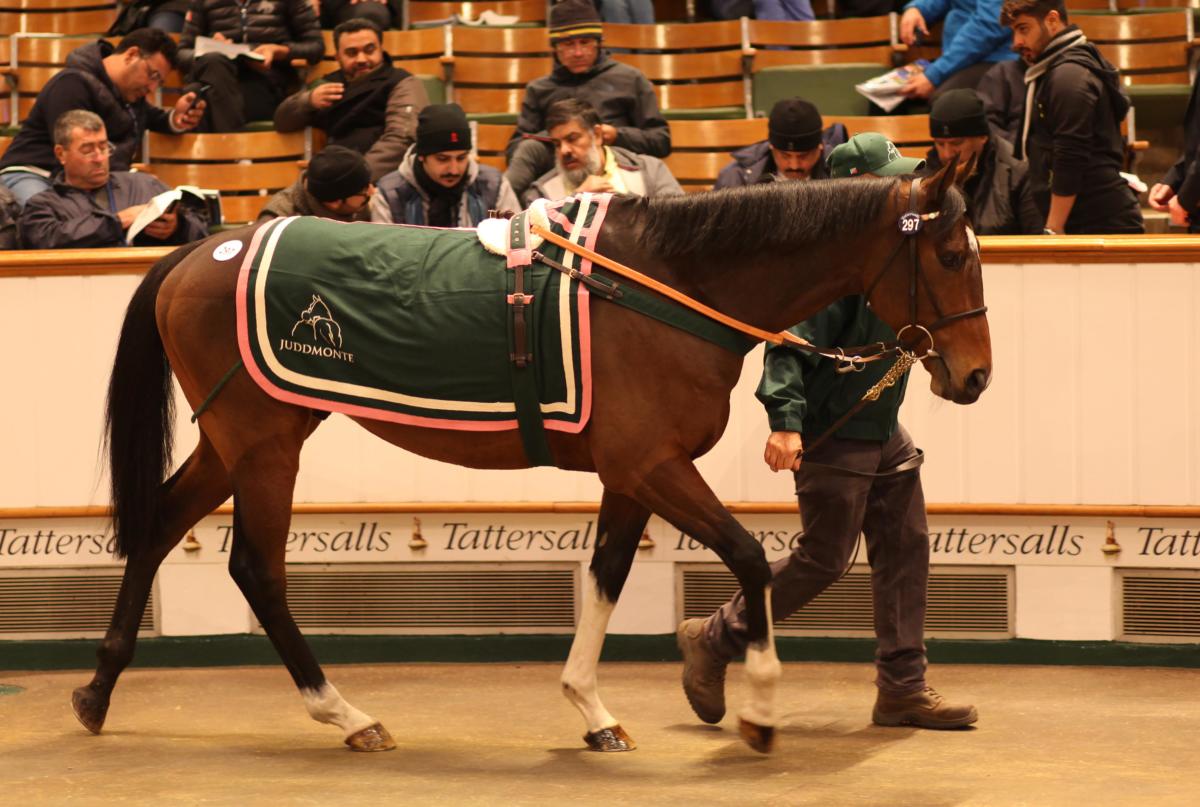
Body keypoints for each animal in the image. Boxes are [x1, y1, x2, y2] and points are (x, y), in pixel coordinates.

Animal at [77, 162, 993, 758]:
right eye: (952, 256)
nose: (975, 376)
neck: (666, 287)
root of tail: (202, 251)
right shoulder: (655, 464)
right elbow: (745, 557)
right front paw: (760, 709)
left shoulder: (631, 473)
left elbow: (607, 574)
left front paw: (592, 708)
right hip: (263, 443)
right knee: (257, 570)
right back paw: (346, 714)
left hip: (235, 439)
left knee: (158, 524)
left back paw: (96, 689)